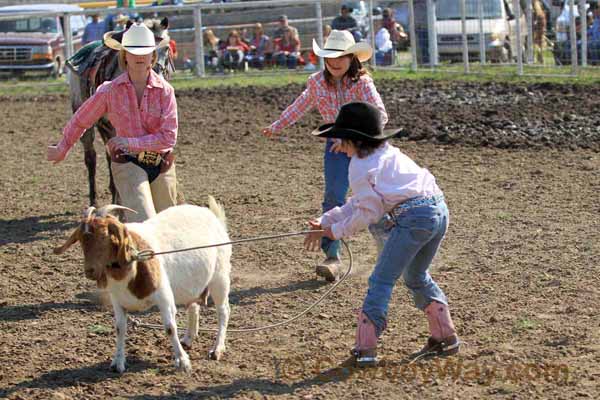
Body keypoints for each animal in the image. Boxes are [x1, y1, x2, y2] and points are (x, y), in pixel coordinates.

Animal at [52, 198, 231, 374]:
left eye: (105, 236)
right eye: (81, 240)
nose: (89, 271)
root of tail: (213, 216)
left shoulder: (164, 296)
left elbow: (170, 328)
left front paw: (182, 362)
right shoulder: (117, 301)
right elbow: (120, 328)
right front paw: (117, 362)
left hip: (220, 277)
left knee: (223, 311)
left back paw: (217, 349)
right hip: (193, 284)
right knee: (194, 307)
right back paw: (188, 339)